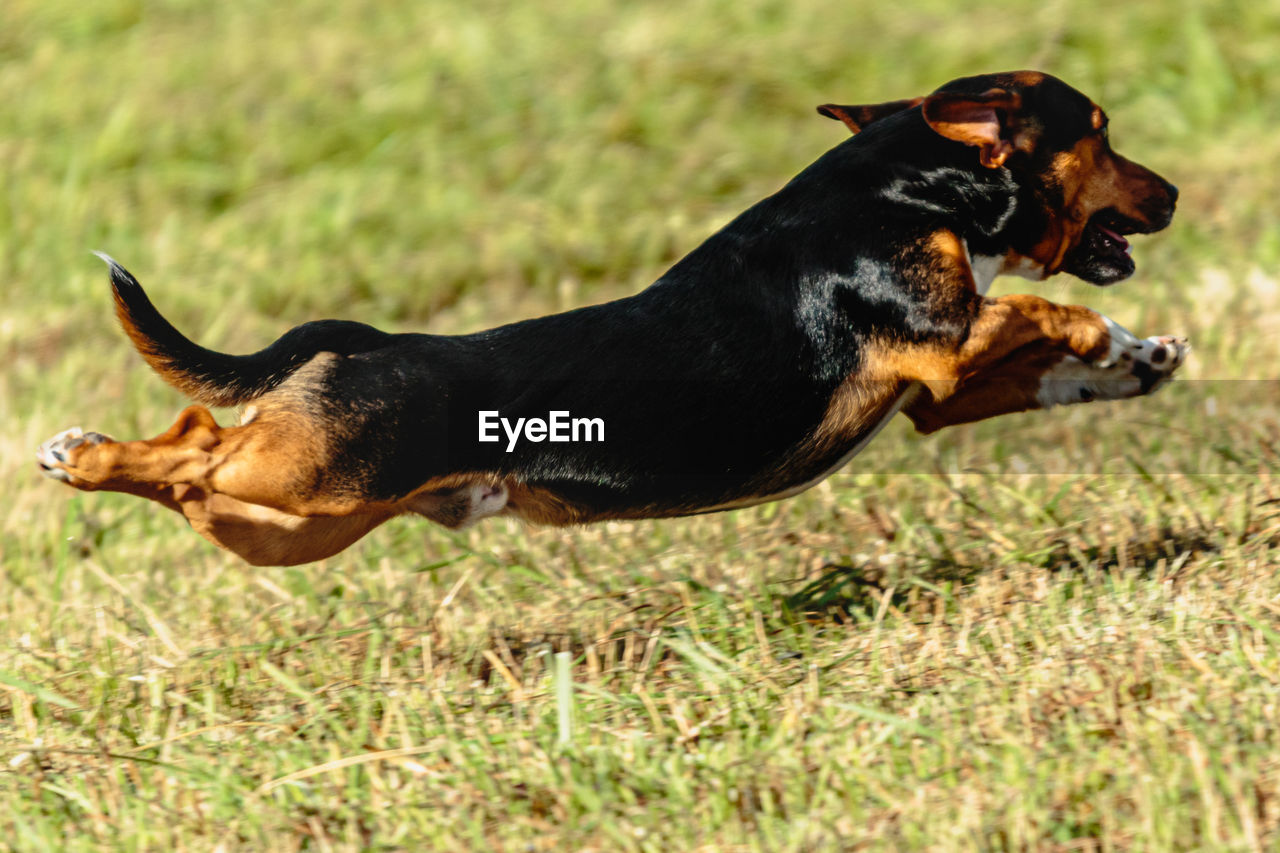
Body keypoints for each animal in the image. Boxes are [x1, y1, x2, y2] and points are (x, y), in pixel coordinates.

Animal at [37, 71, 1187, 563]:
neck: (907, 184)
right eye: (1100, 130)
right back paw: (80, 451)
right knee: (193, 441)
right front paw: (1107, 339)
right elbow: (1043, 308)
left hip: (291, 522)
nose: (1173, 194)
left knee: (193, 469)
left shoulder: (936, 398)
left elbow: (1053, 363)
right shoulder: (945, 351)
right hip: (304, 476)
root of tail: (364, 343)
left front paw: (1140, 360)